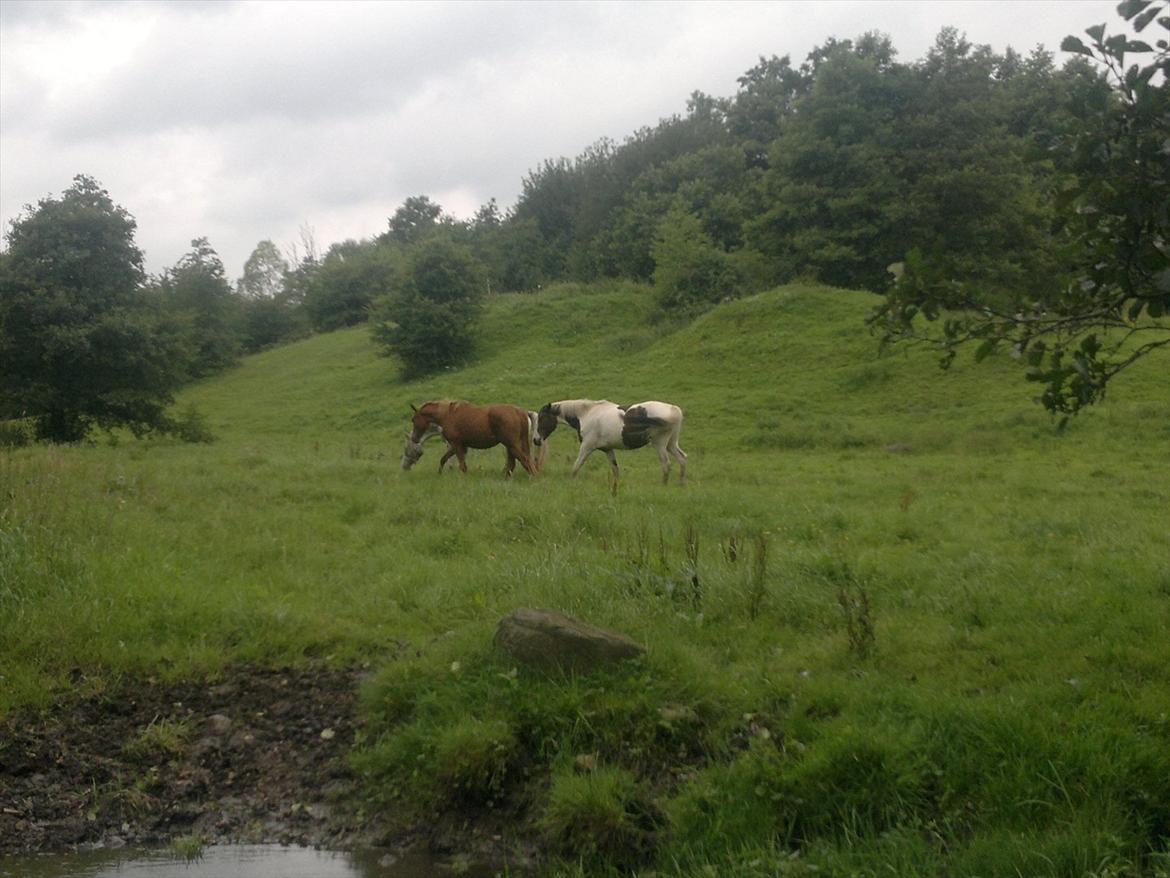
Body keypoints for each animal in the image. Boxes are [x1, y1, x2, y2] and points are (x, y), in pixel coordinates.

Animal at [402, 402, 538, 477]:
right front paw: (439, 474)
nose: (414, 438)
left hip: (512, 445)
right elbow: (443, 459)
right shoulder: (458, 445)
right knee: (514, 464)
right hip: (512, 445)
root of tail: (520, 412)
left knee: (525, 461)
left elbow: (462, 466)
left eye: (413, 419)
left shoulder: (456, 445)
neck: (448, 415)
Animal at [533, 400, 683, 489]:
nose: (536, 440)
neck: (586, 414)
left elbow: (576, 466)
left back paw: (664, 486)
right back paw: (682, 484)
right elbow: (615, 470)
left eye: (541, 418)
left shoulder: (586, 447)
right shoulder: (608, 450)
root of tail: (674, 409)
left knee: (666, 464)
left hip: (660, 444)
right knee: (682, 459)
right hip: (671, 444)